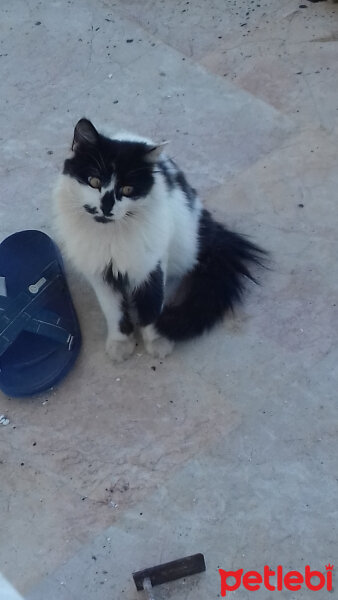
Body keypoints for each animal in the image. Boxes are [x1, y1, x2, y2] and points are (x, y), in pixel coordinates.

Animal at [52, 118, 266, 360]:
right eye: (94, 181)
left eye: (127, 189)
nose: (106, 207)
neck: (111, 236)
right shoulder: (100, 273)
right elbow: (114, 311)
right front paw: (120, 343)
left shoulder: (151, 264)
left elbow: (151, 305)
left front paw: (157, 339)